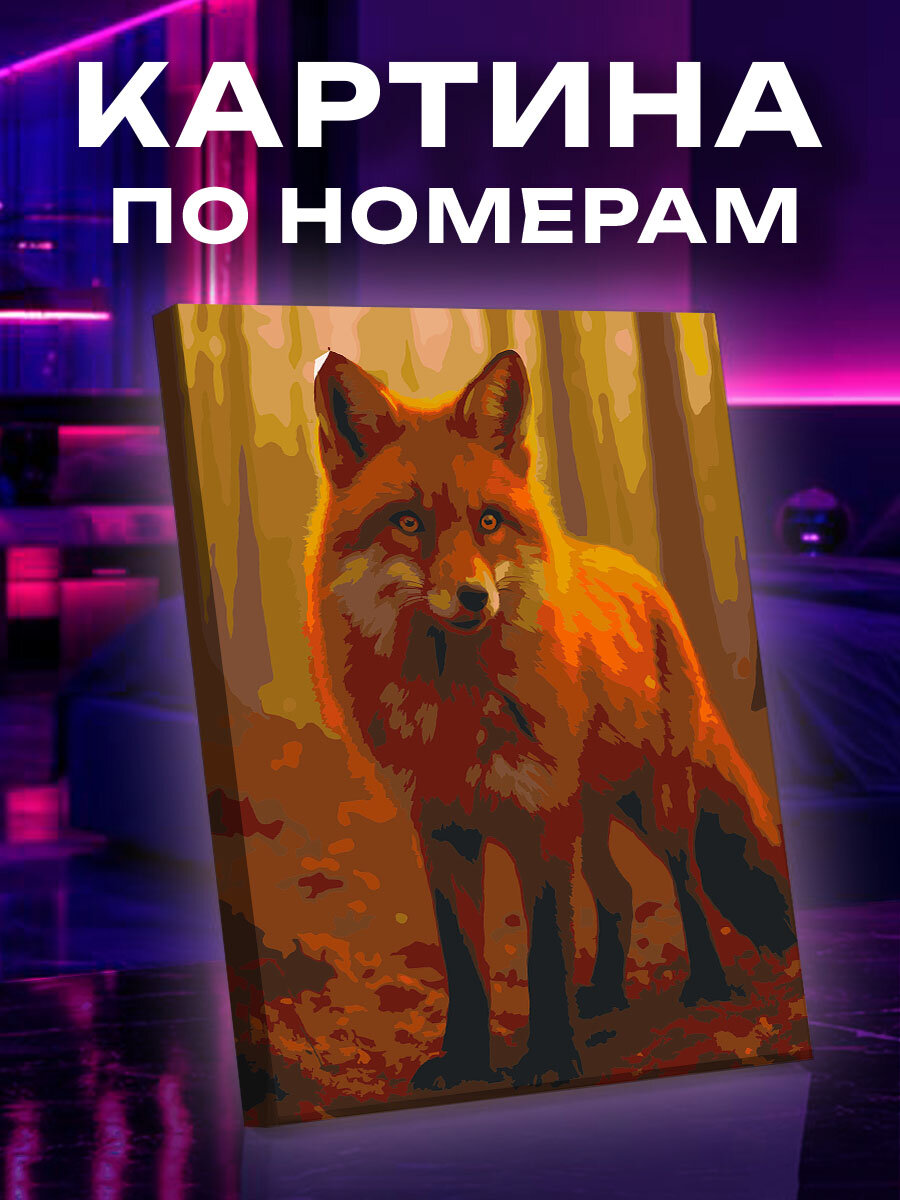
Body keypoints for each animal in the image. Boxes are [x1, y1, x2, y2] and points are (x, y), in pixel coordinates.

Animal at [305, 347, 797, 1092]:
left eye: (488, 522)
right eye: (409, 522)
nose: (473, 596)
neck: (457, 706)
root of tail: (636, 570)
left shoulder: (539, 820)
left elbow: (545, 954)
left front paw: (550, 1059)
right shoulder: (443, 831)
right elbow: (467, 967)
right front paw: (466, 1061)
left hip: (654, 804)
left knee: (687, 885)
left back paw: (707, 987)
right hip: (592, 815)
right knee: (619, 894)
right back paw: (607, 995)